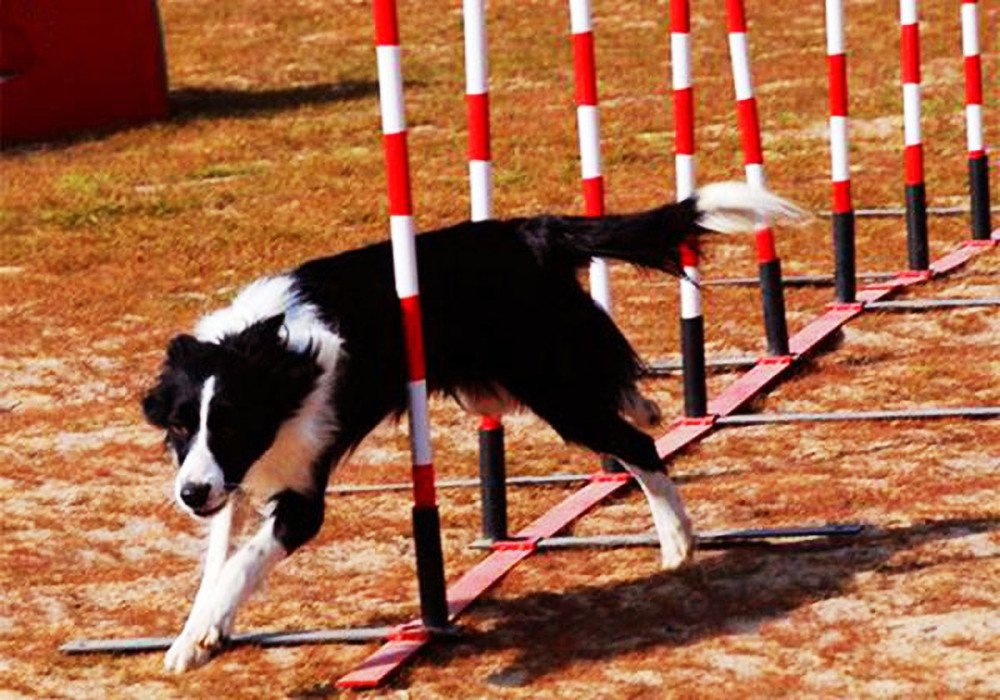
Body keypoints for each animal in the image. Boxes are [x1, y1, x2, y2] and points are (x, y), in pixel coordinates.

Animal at [141, 183, 800, 668]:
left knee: (635, 443)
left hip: (550, 386)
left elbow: (243, 561)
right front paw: (197, 635)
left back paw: (677, 539)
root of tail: (530, 232)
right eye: (181, 427)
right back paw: (650, 412)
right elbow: (219, 558)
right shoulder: (231, 478)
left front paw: (202, 633)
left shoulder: (300, 493)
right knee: (624, 394)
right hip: (512, 382)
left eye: (230, 425)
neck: (266, 351)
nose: (189, 494)